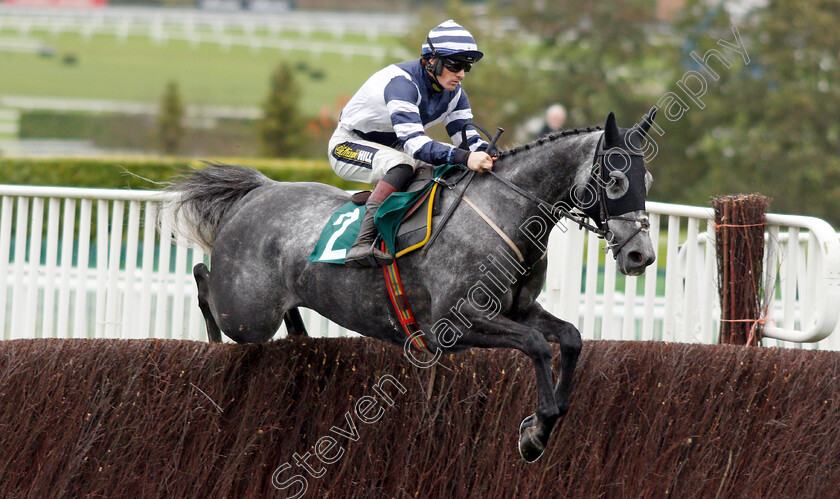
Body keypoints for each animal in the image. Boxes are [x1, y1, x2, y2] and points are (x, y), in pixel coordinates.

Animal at [158, 109, 656, 464]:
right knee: (205, 282)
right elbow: (535, 344)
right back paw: (213, 345)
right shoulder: (454, 323)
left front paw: (542, 424)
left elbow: (570, 337)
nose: (642, 256)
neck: (506, 213)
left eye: (647, 179)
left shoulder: (518, 310)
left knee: (282, 315)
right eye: (615, 179)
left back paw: (299, 334)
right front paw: (537, 428)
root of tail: (259, 190)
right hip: (246, 312)